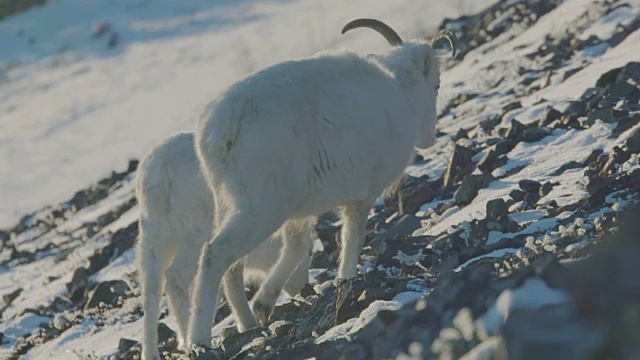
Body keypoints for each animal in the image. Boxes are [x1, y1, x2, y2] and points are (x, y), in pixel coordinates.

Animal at [137, 133, 312, 360]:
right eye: (309, 255)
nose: (307, 289)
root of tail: (159, 173)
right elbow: (230, 285)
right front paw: (249, 325)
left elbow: (228, 284)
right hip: (196, 234)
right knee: (175, 279)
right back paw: (189, 337)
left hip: (153, 238)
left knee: (151, 293)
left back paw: (155, 352)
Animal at [188, 19, 458, 346]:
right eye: (437, 85)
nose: (429, 138)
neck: (399, 94)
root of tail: (224, 126)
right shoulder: (361, 199)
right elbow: (351, 239)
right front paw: (347, 280)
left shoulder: (300, 214)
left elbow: (297, 248)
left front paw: (265, 305)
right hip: (261, 211)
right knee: (214, 256)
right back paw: (199, 340)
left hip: (231, 206)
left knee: (233, 267)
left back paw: (250, 323)